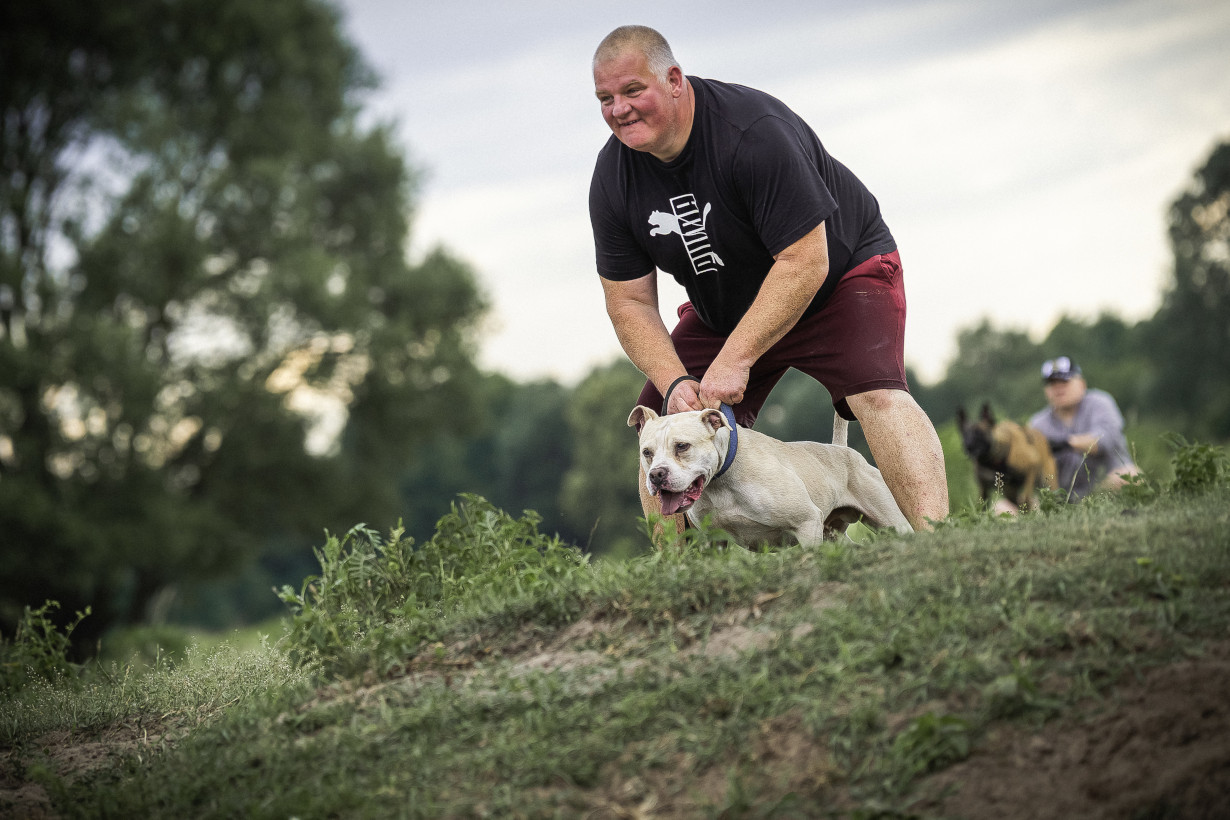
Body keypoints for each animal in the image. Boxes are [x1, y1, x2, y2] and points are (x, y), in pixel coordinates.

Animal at [628, 405, 911, 548]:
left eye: (682, 446)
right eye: (647, 453)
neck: (721, 482)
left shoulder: (807, 522)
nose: (656, 475)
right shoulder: (717, 540)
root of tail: (841, 450)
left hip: (891, 521)